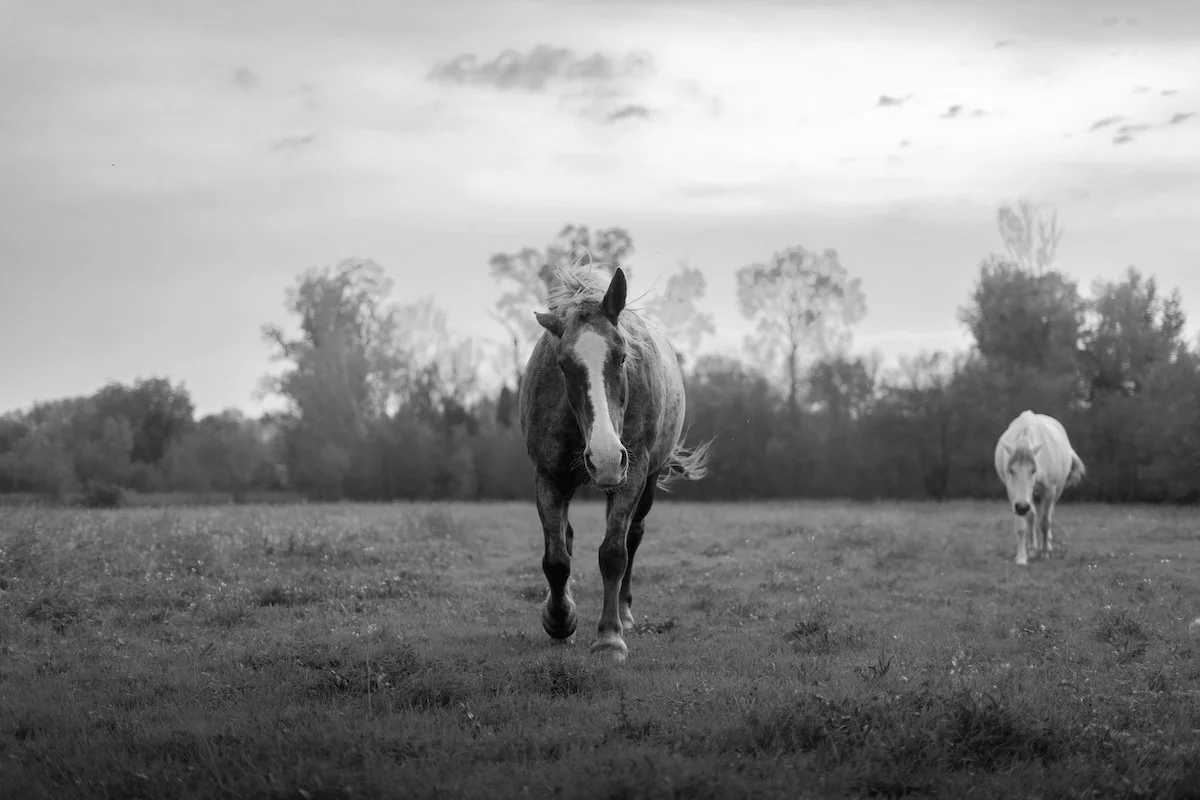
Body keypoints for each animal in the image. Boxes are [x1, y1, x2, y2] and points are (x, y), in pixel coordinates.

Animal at [519, 264, 711, 662]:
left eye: (622, 357)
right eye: (563, 365)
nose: (606, 457)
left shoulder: (632, 471)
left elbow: (613, 553)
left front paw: (609, 636)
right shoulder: (547, 476)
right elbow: (556, 558)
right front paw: (559, 619)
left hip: (646, 481)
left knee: (632, 537)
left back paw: (623, 612)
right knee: (567, 538)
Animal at [994, 410, 1086, 566]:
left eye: (1033, 470)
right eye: (1011, 470)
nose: (1022, 507)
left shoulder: (1049, 491)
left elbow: (1045, 522)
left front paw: (1045, 553)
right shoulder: (1013, 494)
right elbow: (1022, 525)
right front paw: (1022, 557)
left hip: (1055, 491)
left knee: (1048, 515)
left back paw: (1047, 544)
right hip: (1033, 496)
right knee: (1032, 516)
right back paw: (1032, 549)